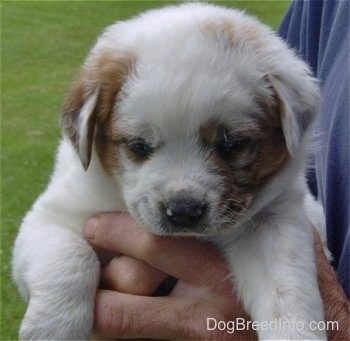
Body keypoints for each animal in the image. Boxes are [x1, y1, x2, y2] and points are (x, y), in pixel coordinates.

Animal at [11, 3, 328, 340]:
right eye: (139, 145)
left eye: (231, 144)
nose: (184, 210)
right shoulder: (51, 218)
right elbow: (70, 254)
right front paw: (53, 327)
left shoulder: (274, 220)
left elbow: (286, 288)